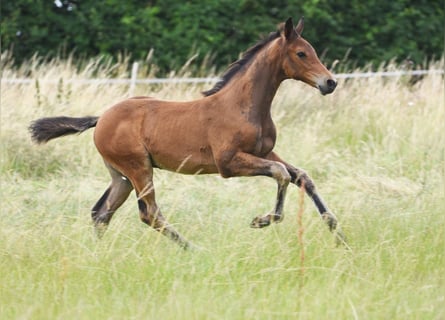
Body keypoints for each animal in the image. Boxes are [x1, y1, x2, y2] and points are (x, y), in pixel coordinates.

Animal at [29, 16, 346, 249]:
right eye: (301, 53)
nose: (329, 83)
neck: (243, 105)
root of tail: (101, 118)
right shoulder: (228, 163)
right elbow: (281, 174)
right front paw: (263, 220)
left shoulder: (265, 151)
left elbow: (301, 175)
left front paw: (337, 231)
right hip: (139, 168)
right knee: (149, 213)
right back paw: (193, 249)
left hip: (121, 175)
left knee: (101, 212)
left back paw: (99, 253)